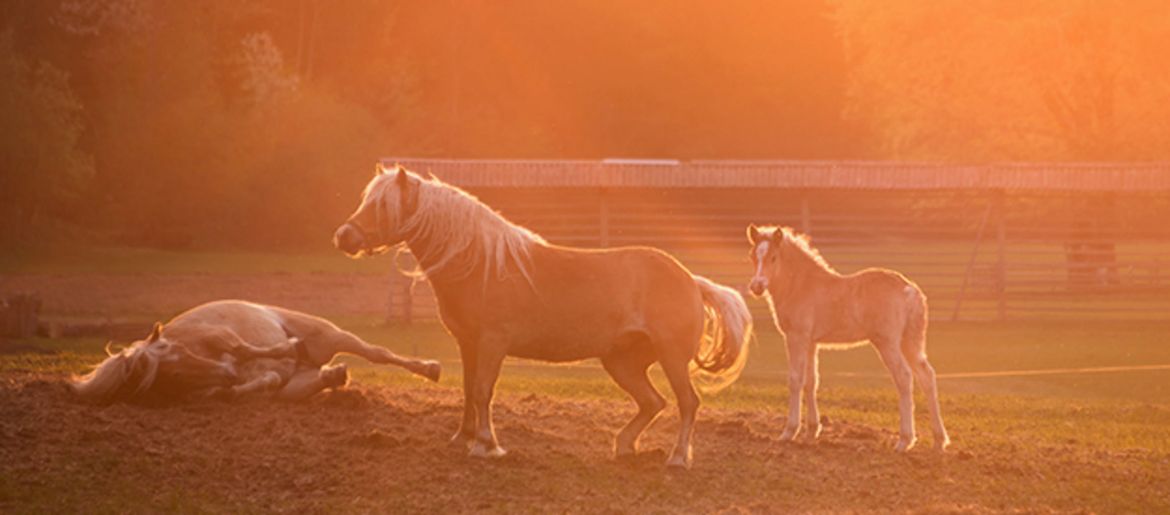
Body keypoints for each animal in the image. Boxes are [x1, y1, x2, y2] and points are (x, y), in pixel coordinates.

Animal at [70, 299, 439, 404]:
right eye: (172, 374)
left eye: (176, 355)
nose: (227, 374)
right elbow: (255, 384)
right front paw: (235, 388)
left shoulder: (220, 335)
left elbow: (243, 347)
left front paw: (285, 347)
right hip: (298, 384)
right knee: (310, 381)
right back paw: (334, 374)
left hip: (331, 336)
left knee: (377, 353)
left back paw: (429, 368)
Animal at [332, 162, 748, 468]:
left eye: (383, 206)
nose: (344, 237)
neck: (482, 263)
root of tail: (691, 280)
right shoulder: (468, 344)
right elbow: (468, 389)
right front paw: (463, 437)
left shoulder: (492, 343)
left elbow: (483, 391)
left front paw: (486, 445)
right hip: (621, 363)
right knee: (653, 403)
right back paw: (624, 446)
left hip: (671, 359)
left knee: (687, 403)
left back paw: (677, 458)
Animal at [748, 224, 950, 449]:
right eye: (753, 256)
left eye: (773, 257)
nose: (757, 286)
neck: (801, 286)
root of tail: (909, 289)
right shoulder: (811, 343)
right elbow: (811, 381)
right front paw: (812, 431)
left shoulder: (796, 337)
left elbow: (795, 380)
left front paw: (789, 432)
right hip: (910, 342)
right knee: (927, 376)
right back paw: (939, 441)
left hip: (887, 343)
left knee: (904, 377)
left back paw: (904, 441)